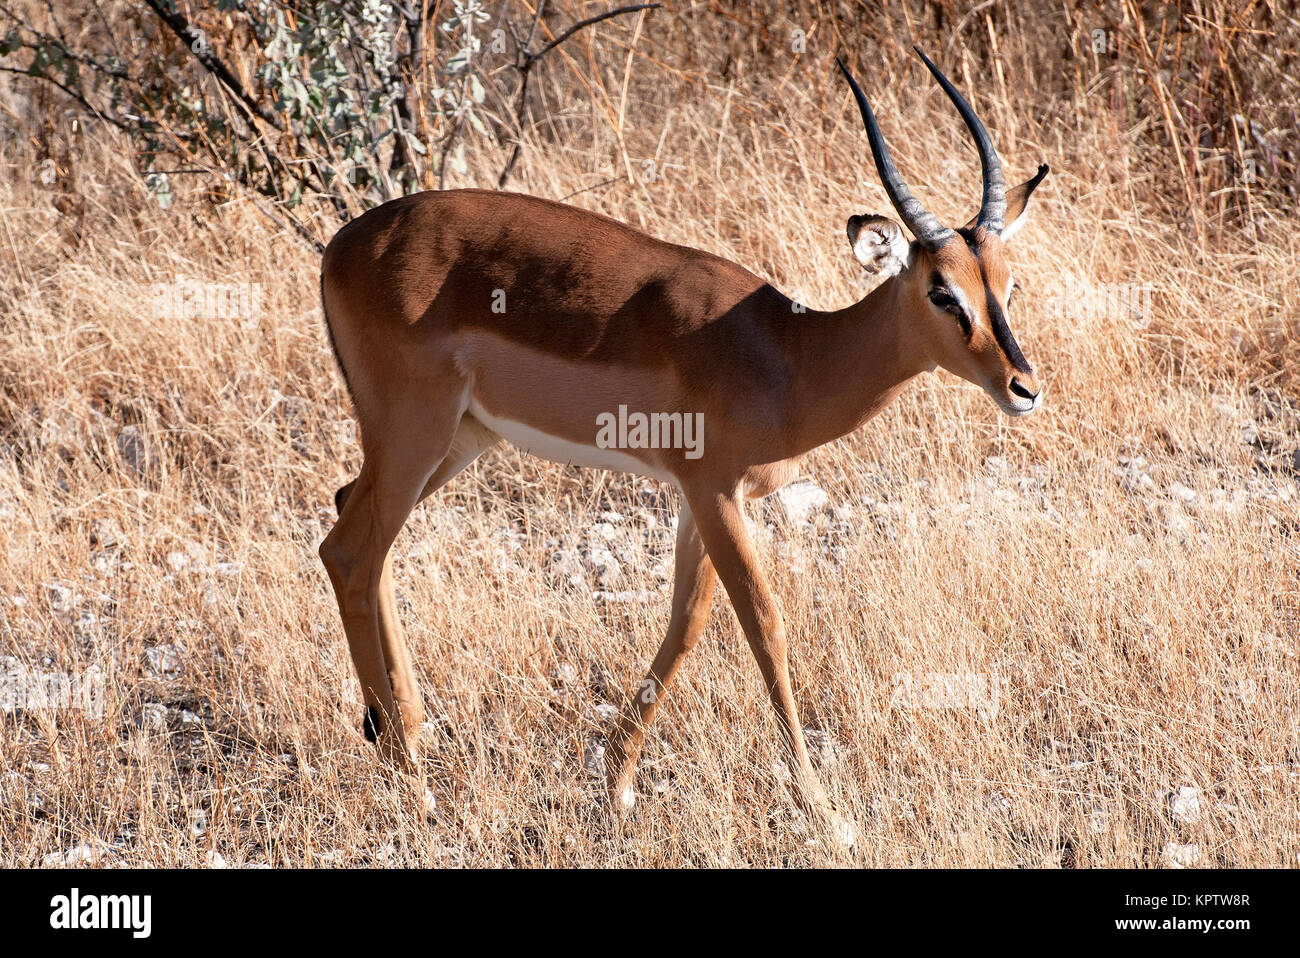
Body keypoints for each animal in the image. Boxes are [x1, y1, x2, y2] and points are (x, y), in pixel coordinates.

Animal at [314, 48, 1045, 831]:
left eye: (1008, 283)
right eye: (942, 290)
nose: (1023, 386)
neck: (788, 354)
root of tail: (340, 248)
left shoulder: (702, 498)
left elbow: (688, 623)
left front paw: (618, 783)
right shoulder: (714, 490)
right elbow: (764, 623)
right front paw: (820, 806)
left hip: (458, 438)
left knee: (358, 526)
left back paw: (405, 731)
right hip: (415, 430)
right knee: (350, 551)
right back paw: (412, 778)